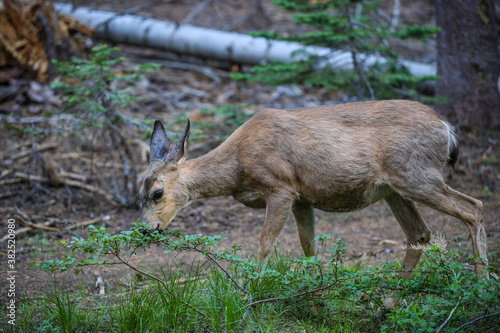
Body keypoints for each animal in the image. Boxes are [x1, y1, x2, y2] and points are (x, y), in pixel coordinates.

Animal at [140, 99, 488, 296]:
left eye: (157, 192)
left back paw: (480, 288)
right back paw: (389, 301)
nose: (145, 229)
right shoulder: (302, 199)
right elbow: (308, 247)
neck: (238, 167)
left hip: (416, 176)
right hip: (395, 189)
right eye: (139, 192)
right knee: (420, 233)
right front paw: (315, 296)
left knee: (474, 208)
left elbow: (265, 244)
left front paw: (248, 293)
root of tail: (446, 128)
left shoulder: (281, 187)